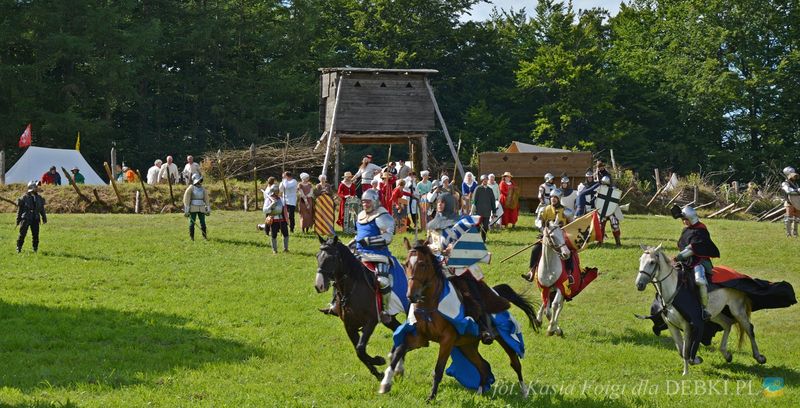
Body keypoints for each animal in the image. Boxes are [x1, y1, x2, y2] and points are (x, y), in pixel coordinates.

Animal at [314, 235, 404, 380]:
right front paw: (377, 372)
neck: (352, 286)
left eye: (332, 258)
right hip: (389, 320)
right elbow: (359, 352)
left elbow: (360, 348)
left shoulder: (371, 322)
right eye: (317, 256)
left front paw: (379, 360)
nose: (319, 285)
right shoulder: (349, 326)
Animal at [379, 240, 538, 402]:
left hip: (505, 338)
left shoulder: (447, 340)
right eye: (406, 264)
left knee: (515, 363)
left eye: (422, 264)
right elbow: (398, 351)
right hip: (467, 345)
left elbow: (438, 369)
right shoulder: (419, 338)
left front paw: (431, 397)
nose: (411, 296)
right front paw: (386, 382)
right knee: (483, 366)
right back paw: (480, 393)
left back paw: (524, 392)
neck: (430, 306)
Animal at [635, 244, 766, 375]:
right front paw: (693, 363)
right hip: (715, 314)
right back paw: (727, 354)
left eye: (652, 262)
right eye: (640, 260)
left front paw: (687, 371)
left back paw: (759, 357)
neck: (673, 290)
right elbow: (681, 350)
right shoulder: (672, 326)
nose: (639, 284)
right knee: (727, 324)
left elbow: (686, 350)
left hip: (737, 310)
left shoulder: (688, 325)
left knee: (749, 328)